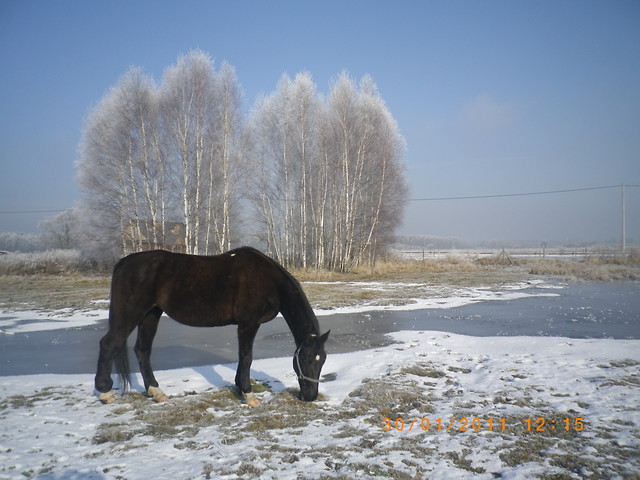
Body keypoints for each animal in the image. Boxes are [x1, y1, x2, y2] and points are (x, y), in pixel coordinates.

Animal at [95, 248, 330, 404]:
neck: (268, 280)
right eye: (306, 358)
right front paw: (249, 395)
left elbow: (242, 357)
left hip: (151, 315)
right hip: (131, 314)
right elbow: (247, 356)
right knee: (109, 344)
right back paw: (106, 393)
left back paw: (156, 392)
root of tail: (125, 261)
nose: (310, 396)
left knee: (142, 350)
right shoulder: (248, 323)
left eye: (322, 360)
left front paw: (239, 387)